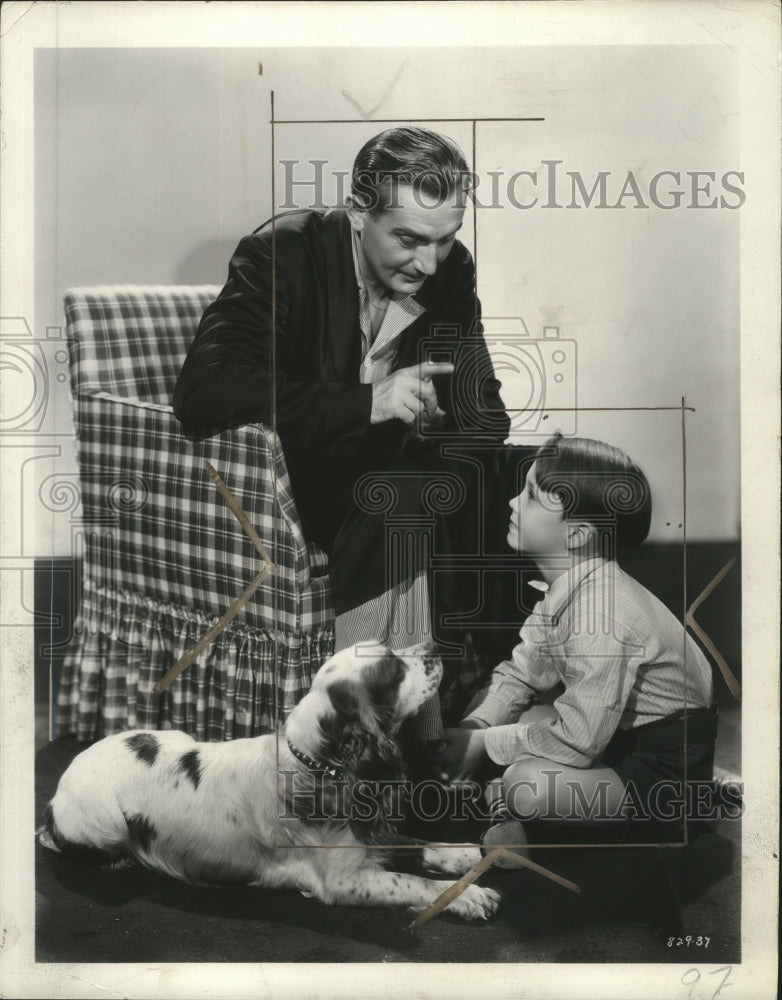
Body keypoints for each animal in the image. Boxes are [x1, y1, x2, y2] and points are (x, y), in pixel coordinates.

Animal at [38, 644, 502, 916]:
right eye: (393, 670)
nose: (436, 649)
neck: (316, 766)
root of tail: (56, 793)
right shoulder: (341, 882)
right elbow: (414, 882)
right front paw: (469, 895)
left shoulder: (364, 835)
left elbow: (409, 844)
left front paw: (460, 854)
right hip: (106, 821)